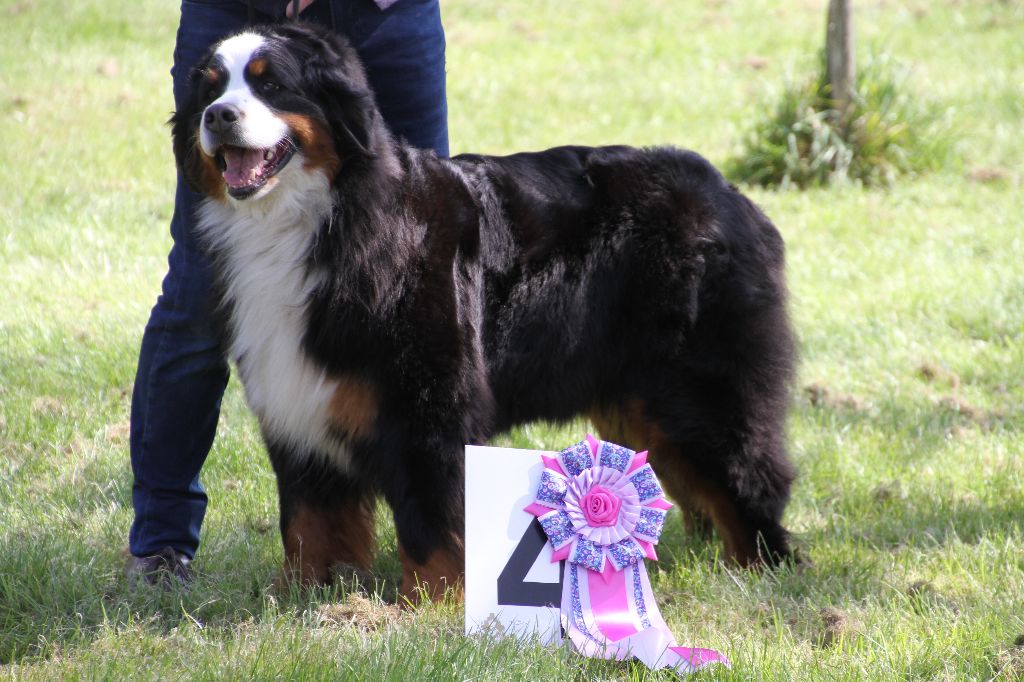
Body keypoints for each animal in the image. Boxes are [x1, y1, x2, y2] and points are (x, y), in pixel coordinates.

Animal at [172, 19, 794, 593]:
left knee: (748, 476)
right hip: (634, 398)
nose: (218, 117)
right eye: (209, 91)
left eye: (271, 84)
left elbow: (431, 523)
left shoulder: (428, 410)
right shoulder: (297, 402)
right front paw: (304, 594)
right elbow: (308, 522)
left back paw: (759, 572)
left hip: (697, 390)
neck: (321, 221)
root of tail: (725, 191)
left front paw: (428, 605)